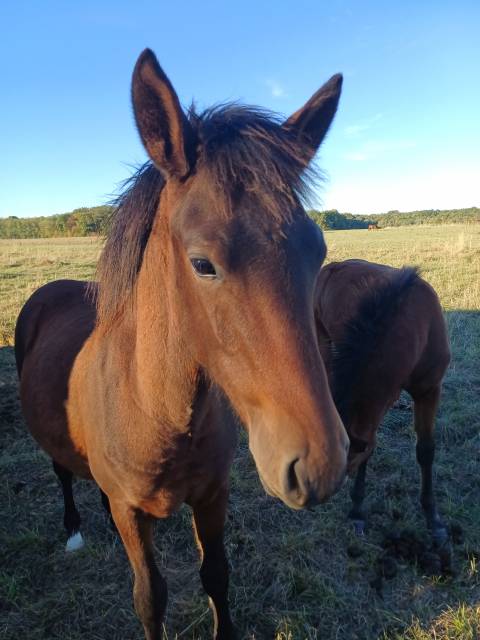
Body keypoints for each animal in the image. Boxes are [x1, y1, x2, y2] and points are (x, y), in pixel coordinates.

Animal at [15, 49, 349, 639]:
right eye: (202, 264)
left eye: (318, 251)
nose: (320, 466)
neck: (156, 411)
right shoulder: (132, 514)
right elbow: (150, 597)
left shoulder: (212, 496)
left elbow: (216, 576)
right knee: (62, 474)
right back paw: (74, 528)